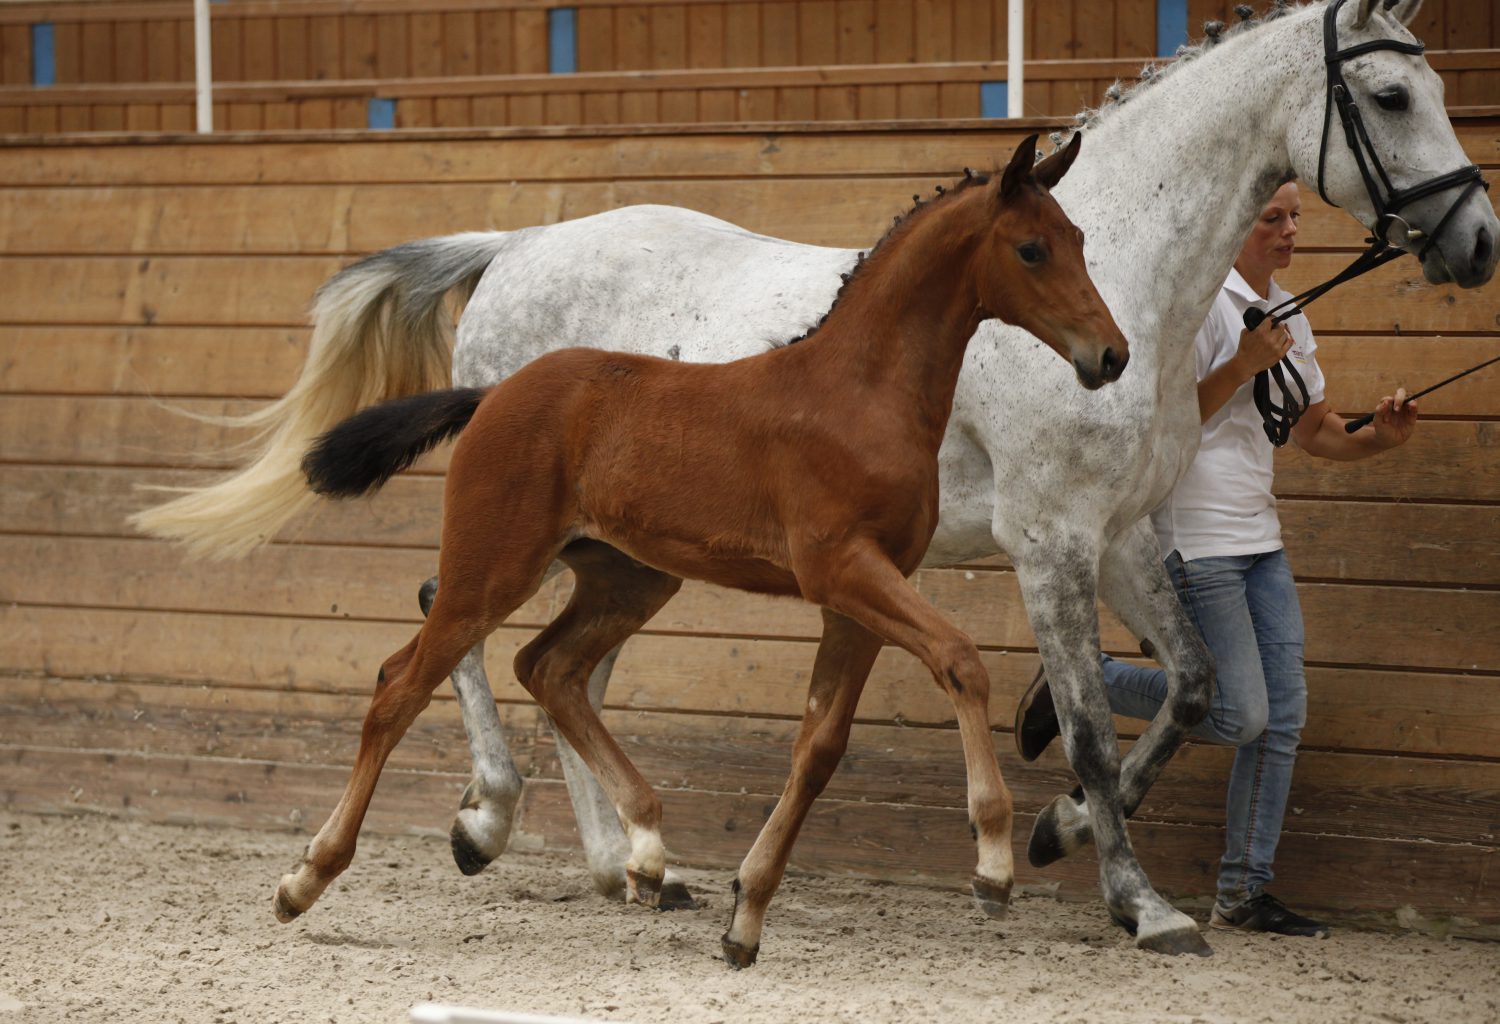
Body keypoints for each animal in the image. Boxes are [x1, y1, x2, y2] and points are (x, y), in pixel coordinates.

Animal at [276, 134, 1128, 959]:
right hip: (495, 564)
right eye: (1030, 249)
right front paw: (992, 865)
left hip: (628, 577)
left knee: (548, 667)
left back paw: (648, 852)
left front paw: (745, 917)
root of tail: (492, 394)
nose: (1111, 355)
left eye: (1081, 240)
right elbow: (960, 659)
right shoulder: (842, 569)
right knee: (401, 684)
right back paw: (310, 878)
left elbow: (819, 748)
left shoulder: (860, 595)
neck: (861, 393)